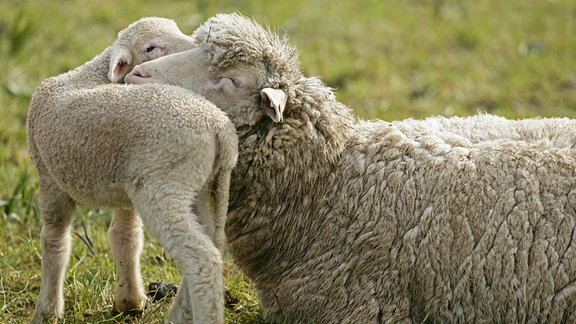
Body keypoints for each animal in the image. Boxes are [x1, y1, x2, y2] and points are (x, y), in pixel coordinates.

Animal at [27, 17, 236, 324]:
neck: (91, 74)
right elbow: (125, 237)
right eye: (150, 48)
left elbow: (55, 242)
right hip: (209, 187)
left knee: (202, 257)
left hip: (163, 187)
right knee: (215, 242)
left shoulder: (50, 179)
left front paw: (47, 310)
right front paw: (130, 301)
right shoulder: (123, 186)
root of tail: (218, 126)